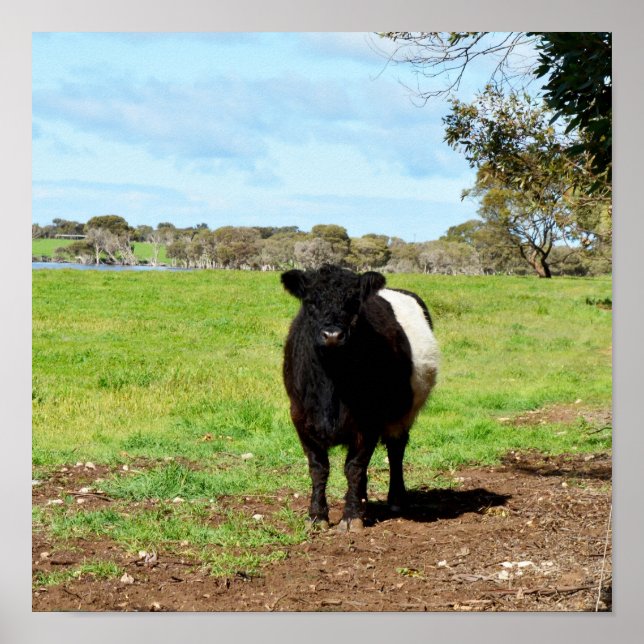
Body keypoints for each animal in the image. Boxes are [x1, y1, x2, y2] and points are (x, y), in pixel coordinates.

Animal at [281, 264, 439, 532]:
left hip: (404, 412)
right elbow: (318, 468)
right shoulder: (300, 417)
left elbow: (353, 467)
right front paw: (317, 516)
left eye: (354, 303)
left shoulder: (368, 420)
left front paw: (351, 517)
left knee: (395, 451)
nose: (332, 334)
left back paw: (396, 500)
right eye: (311, 302)